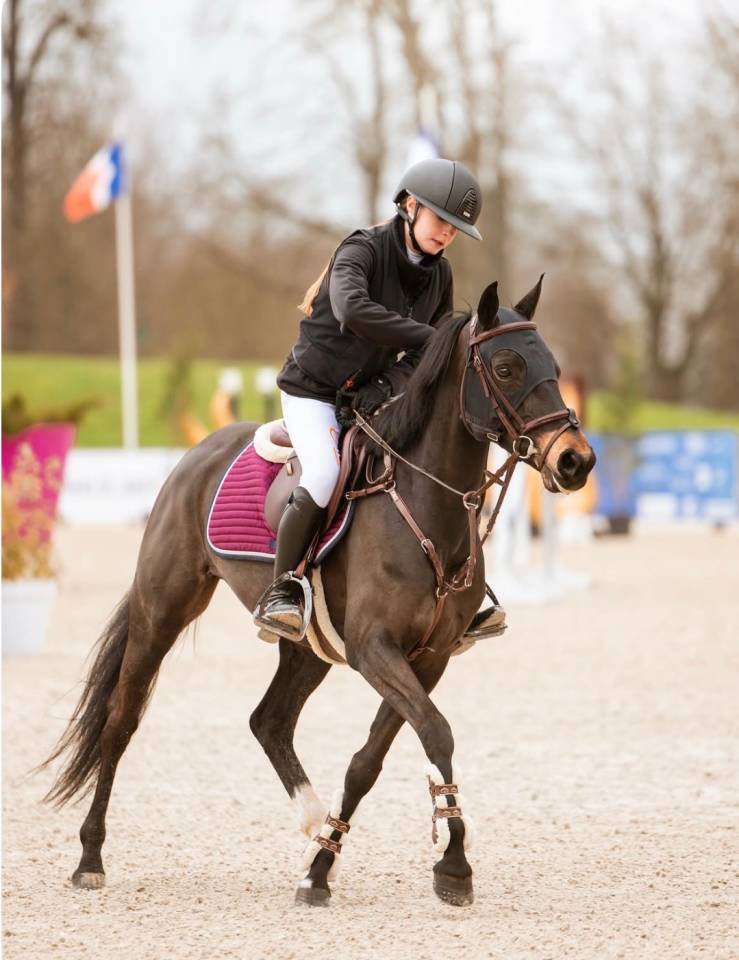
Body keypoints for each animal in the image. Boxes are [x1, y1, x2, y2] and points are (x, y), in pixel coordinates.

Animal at [40, 277, 595, 907]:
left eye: (554, 367)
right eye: (505, 367)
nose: (575, 461)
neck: (424, 505)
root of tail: (196, 454)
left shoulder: (425, 659)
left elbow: (372, 758)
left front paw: (331, 861)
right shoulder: (374, 649)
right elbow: (436, 731)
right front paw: (449, 859)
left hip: (309, 649)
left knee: (269, 721)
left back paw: (311, 820)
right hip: (164, 609)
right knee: (120, 722)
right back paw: (90, 856)